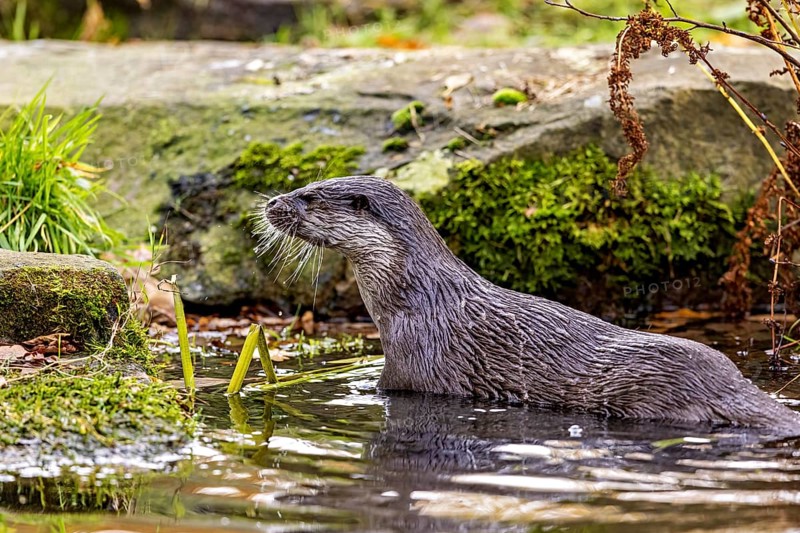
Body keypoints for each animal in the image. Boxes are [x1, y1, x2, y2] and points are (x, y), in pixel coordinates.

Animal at [259, 176, 800, 433]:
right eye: (300, 186)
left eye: (308, 197)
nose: (271, 203)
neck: (416, 299)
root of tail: (728, 386)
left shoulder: (411, 369)